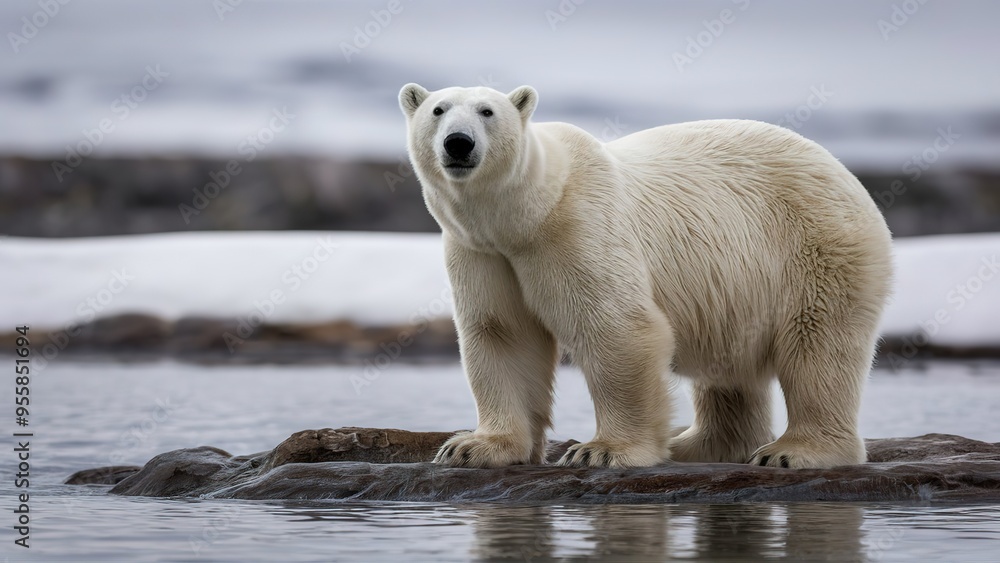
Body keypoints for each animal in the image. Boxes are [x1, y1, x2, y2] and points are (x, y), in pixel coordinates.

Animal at [398, 83, 893, 469]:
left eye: (487, 111)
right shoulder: (482, 251)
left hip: (815, 251)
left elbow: (616, 327)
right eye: (438, 110)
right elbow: (502, 334)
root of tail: (842, 171)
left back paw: (793, 451)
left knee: (819, 350)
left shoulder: (579, 228)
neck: (525, 216)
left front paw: (600, 451)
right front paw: (472, 447)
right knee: (731, 368)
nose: (458, 143)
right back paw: (696, 444)